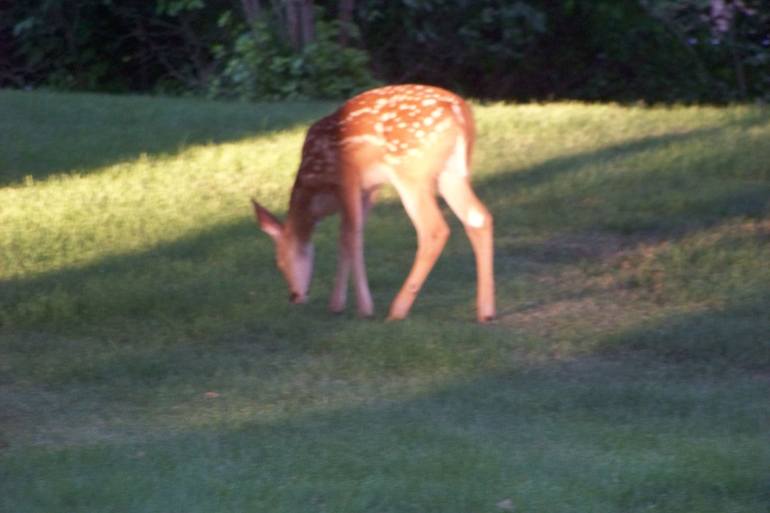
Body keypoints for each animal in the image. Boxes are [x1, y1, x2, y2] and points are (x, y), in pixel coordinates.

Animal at [249, 85, 496, 322]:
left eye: (279, 262)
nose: (293, 296)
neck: (317, 185)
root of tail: (460, 112)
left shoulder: (348, 178)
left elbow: (350, 237)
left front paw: (364, 308)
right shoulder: (369, 190)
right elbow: (349, 237)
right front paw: (337, 305)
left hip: (411, 171)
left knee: (434, 229)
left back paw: (397, 310)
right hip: (452, 173)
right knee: (479, 217)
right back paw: (486, 312)